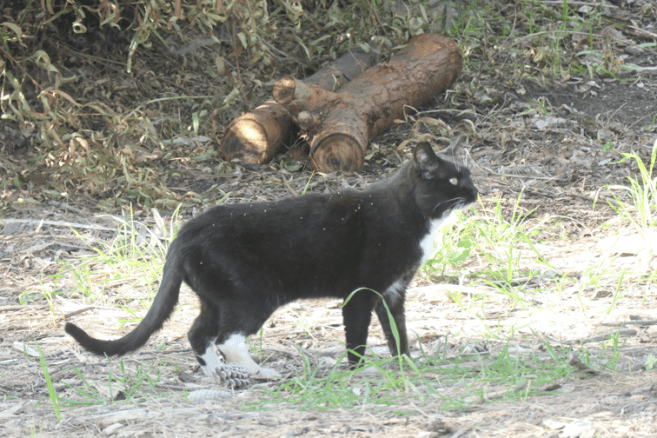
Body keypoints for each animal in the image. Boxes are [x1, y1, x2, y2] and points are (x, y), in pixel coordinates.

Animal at [65, 142, 478, 380]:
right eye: (453, 181)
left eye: (469, 176)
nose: (475, 191)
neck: (414, 217)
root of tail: (186, 231)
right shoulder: (361, 292)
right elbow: (357, 336)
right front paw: (359, 371)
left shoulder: (393, 291)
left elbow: (397, 331)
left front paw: (406, 364)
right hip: (255, 292)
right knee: (227, 337)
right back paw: (261, 371)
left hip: (216, 295)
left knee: (198, 333)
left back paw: (221, 375)